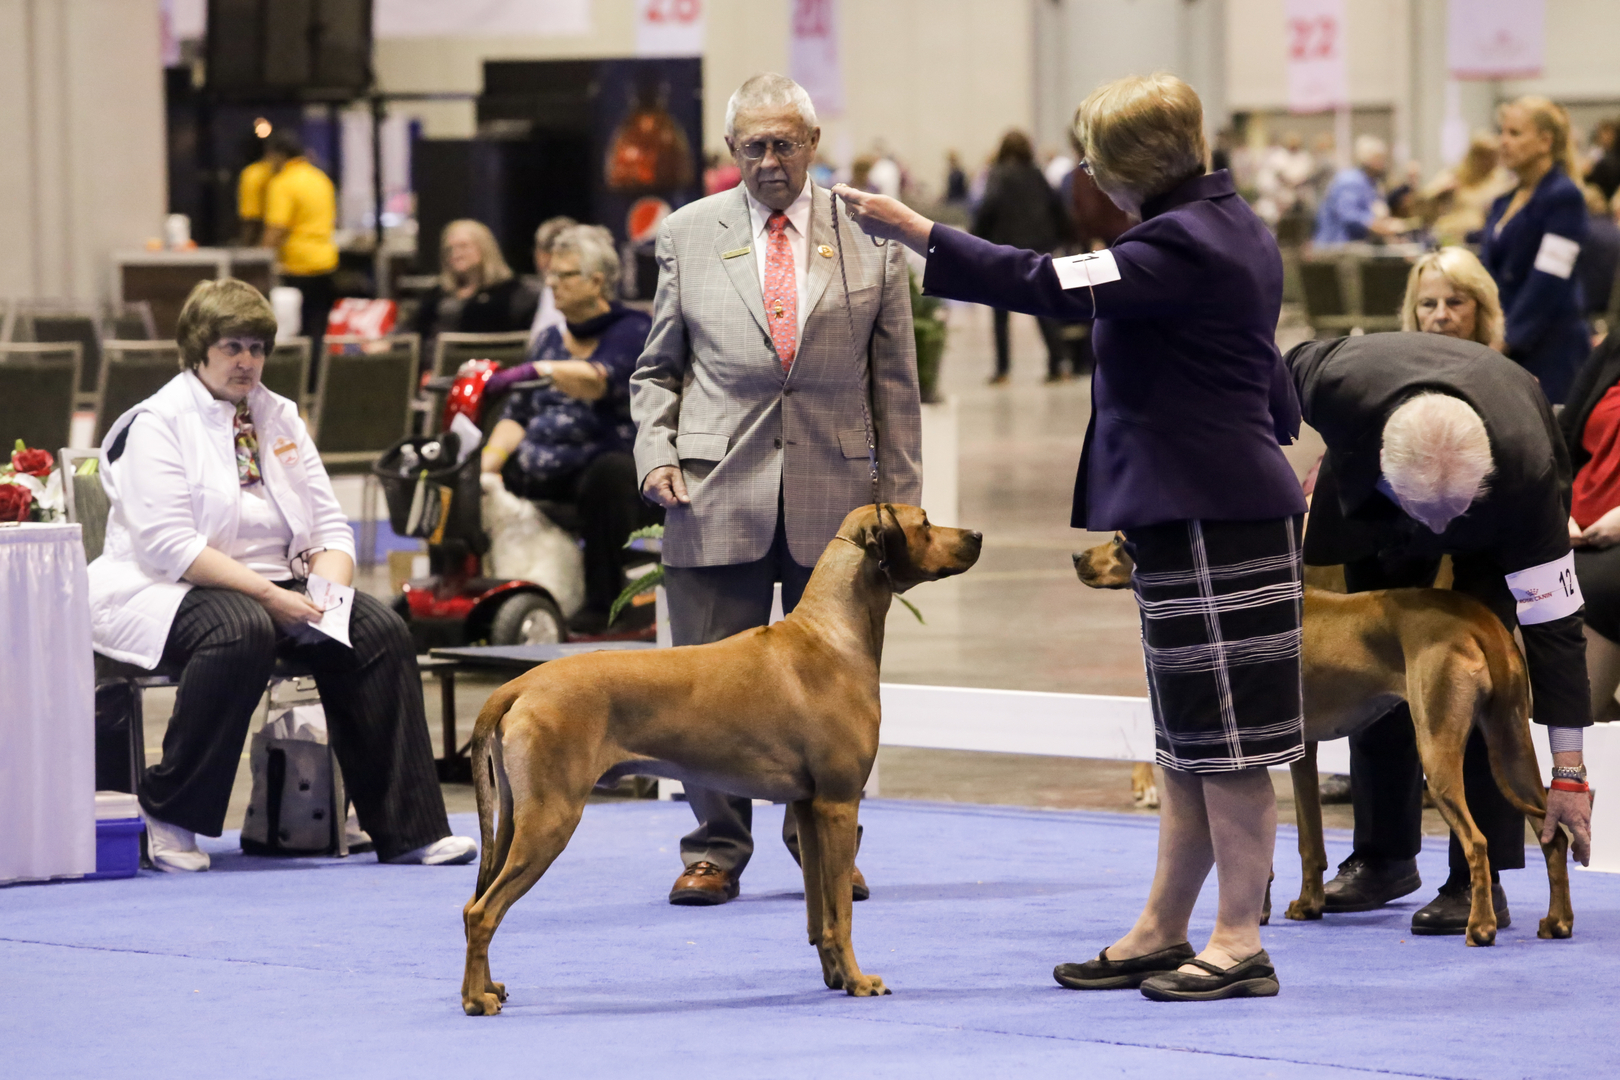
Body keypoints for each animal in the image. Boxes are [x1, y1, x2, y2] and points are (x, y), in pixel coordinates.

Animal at [463, 505, 978, 1016]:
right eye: (925, 523)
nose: (976, 535)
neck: (833, 633)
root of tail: (520, 684)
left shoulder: (809, 809)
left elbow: (818, 914)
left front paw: (834, 976)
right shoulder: (838, 804)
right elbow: (842, 915)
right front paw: (857, 980)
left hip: (514, 820)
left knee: (475, 901)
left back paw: (488, 987)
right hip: (551, 818)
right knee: (483, 911)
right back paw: (475, 999)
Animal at [1075, 537, 1568, 952]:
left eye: (1120, 540)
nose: (1078, 556)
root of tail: (1482, 623)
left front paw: (1265, 909)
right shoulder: (1302, 749)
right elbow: (1309, 838)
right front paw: (1307, 905)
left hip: (1440, 748)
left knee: (1478, 841)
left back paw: (1479, 926)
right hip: (1512, 745)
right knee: (1553, 832)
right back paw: (1557, 921)